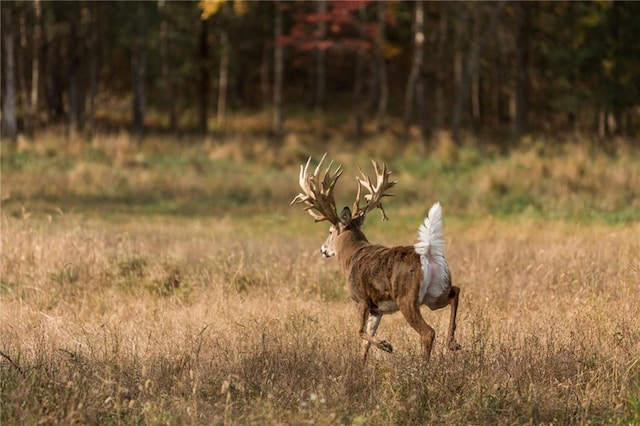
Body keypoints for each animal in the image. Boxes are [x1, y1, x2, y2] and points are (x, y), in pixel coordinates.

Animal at [290, 155, 460, 364]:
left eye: (330, 232)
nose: (322, 249)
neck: (351, 257)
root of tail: (427, 254)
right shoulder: (377, 309)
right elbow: (365, 343)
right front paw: (362, 365)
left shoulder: (362, 299)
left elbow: (359, 331)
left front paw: (386, 345)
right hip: (434, 294)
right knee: (455, 291)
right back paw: (453, 343)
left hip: (407, 298)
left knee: (428, 332)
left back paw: (424, 365)